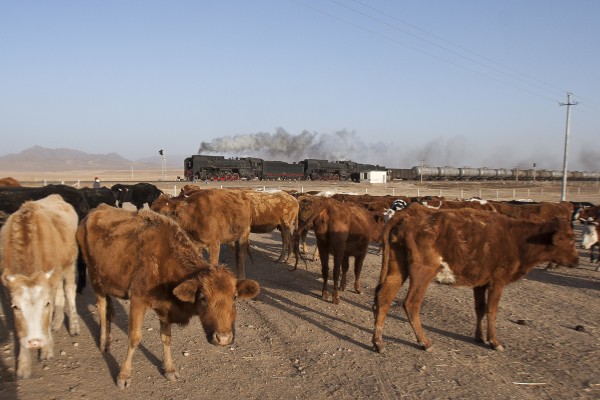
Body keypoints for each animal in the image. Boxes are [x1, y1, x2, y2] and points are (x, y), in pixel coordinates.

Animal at [0, 195, 79, 380]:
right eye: (16, 306)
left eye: (46, 304)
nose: (35, 342)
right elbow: (19, 328)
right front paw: (23, 364)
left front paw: (47, 350)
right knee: (61, 294)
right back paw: (57, 323)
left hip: (69, 265)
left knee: (69, 292)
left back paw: (73, 326)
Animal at [77, 203, 260, 388]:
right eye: (203, 298)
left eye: (235, 298)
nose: (223, 338)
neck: (165, 260)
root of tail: (95, 210)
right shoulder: (137, 300)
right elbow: (134, 337)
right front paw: (124, 375)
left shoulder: (166, 308)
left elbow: (166, 338)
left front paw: (170, 369)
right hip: (94, 276)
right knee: (101, 305)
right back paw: (103, 342)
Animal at [372, 205, 580, 352]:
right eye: (570, 239)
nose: (577, 260)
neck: (517, 239)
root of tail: (408, 212)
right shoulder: (498, 281)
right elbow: (491, 311)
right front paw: (494, 341)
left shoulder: (481, 282)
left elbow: (479, 309)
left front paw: (479, 336)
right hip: (423, 272)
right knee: (411, 304)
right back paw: (424, 342)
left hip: (397, 267)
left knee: (384, 298)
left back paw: (378, 342)